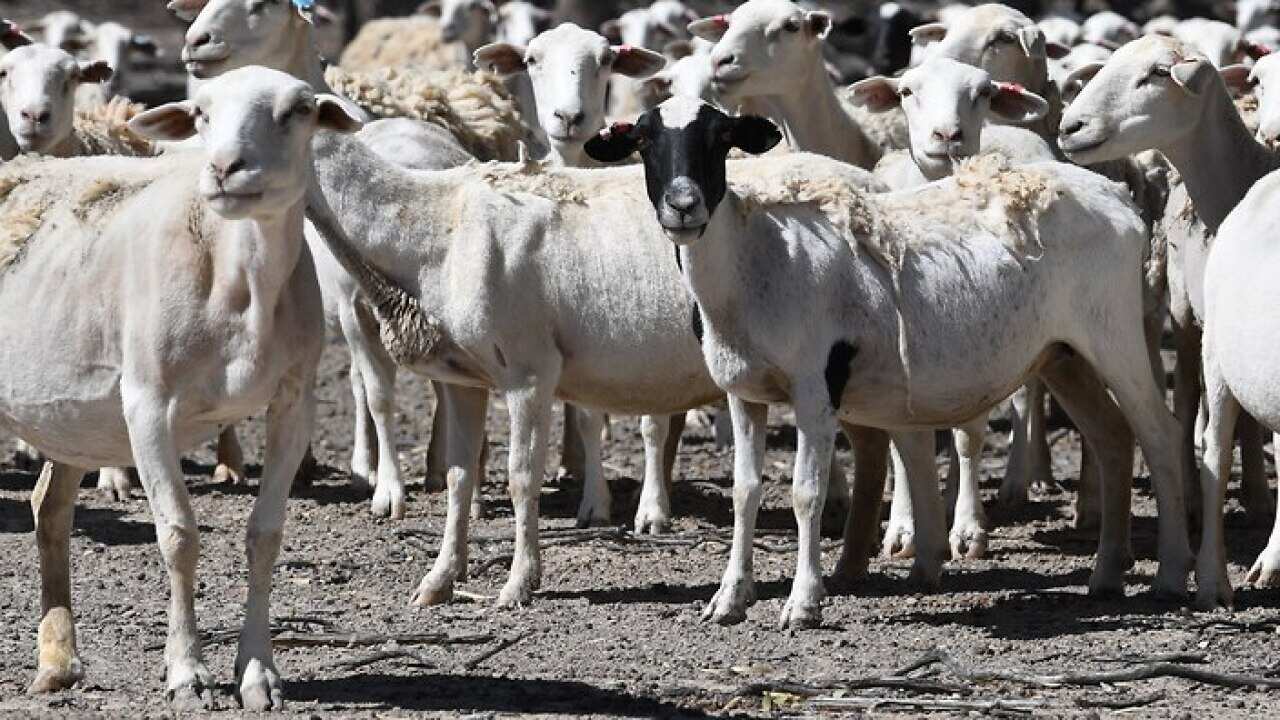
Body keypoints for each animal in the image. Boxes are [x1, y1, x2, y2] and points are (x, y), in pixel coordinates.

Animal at [5, 65, 363, 707]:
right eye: (200, 113)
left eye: (299, 110)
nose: (224, 167)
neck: (239, 280)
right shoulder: (147, 402)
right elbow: (178, 535)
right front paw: (186, 673)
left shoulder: (294, 402)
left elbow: (265, 535)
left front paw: (258, 673)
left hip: (74, 417)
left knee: (50, 508)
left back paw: (58, 660)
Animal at [586, 96, 1192, 627]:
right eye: (643, 140)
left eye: (719, 139)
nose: (683, 206)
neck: (755, 259)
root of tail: (1117, 195)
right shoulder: (744, 392)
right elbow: (745, 492)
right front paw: (729, 599)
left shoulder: (816, 384)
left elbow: (805, 493)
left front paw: (803, 604)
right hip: (1062, 354)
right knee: (1112, 437)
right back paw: (1106, 575)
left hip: (1114, 334)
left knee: (1159, 435)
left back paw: (1171, 574)